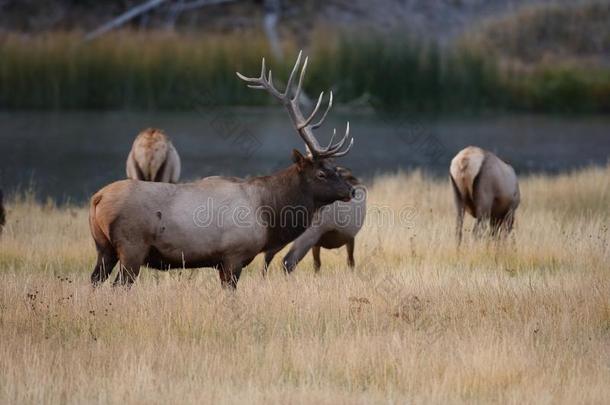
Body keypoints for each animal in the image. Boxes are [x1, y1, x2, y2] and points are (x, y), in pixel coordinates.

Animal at [88, 51, 354, 288]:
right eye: (321, 173)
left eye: (335, 168)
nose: (351, 191)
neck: (268, 215)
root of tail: (97, 198)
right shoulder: (233, 255)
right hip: (132, 247)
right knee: (119, 285)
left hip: (104, 249)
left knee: (94, 281)